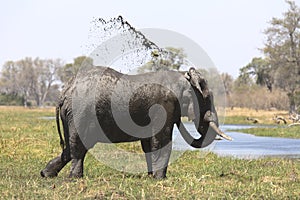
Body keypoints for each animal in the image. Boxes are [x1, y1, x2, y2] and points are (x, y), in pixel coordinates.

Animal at [40, 66, 232, 179]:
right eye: (207, 97)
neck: (182, 76)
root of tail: (64, 93)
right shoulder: (165, 105)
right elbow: (162, 140)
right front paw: (160, 179)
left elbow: (148, 143)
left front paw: (150, 176)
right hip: (80, 112)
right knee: (79, 146)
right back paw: (75, 178)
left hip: (71, 115)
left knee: (71, 147)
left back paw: (46, 174)